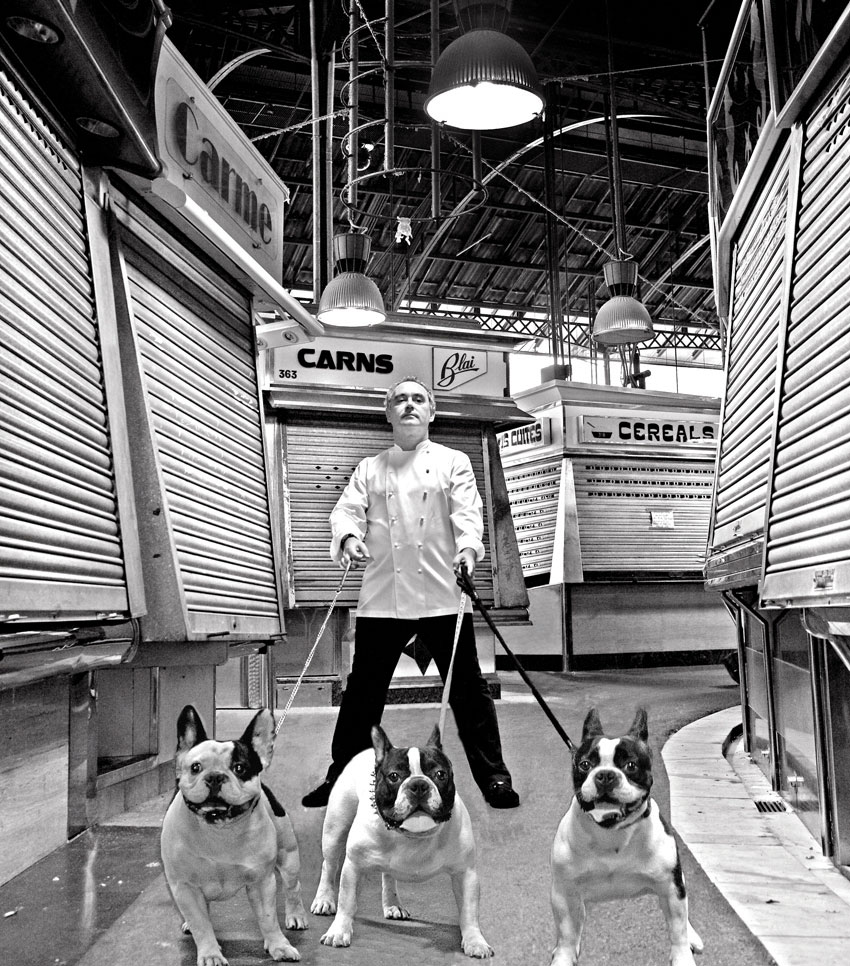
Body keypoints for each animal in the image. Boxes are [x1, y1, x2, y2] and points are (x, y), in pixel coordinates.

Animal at [308, 728, 490, 960]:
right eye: (394, 776)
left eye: (440, 774)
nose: (419, 785)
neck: (413, 835)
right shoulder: (354, 867)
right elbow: (346, 902)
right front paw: (339, 932)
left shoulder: (465, 873)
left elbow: (469, 911)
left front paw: (475, 941)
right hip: (335, 829)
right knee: (329, 866)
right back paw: (324, 899)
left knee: (388, 874)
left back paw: (392, 904)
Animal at [548, 712, 704, 966]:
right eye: (585, 765)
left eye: (630, 766)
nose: (605, 775)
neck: (611, 833)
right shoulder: (564, 893)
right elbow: (567, 935)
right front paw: (563, 957)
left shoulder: (671, 888)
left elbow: (677, 929)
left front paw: (683, 956)